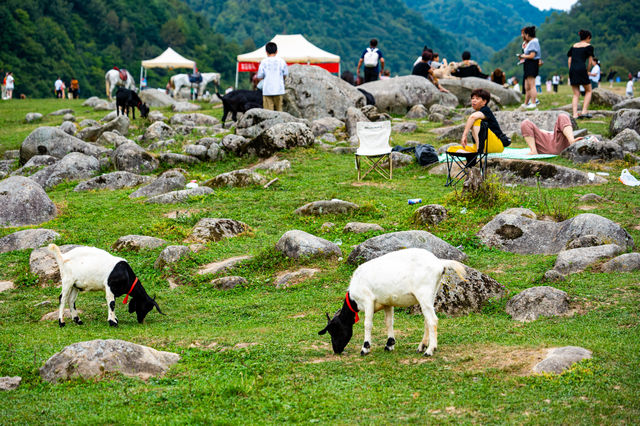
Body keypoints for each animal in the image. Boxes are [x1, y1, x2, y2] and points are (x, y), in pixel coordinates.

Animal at [318, 248, 464, 354]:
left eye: (334, 330)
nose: (336, 350)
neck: (354, 298)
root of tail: (439, 263)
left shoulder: (368, 300)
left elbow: (367, 324)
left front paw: (365, 348)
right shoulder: (387, 302)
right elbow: (389, 322)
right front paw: (389, 344)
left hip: (424, 293)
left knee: (433, 320)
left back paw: (429, 350)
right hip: (431, 295)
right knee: (427, 320)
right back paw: (421, 346)